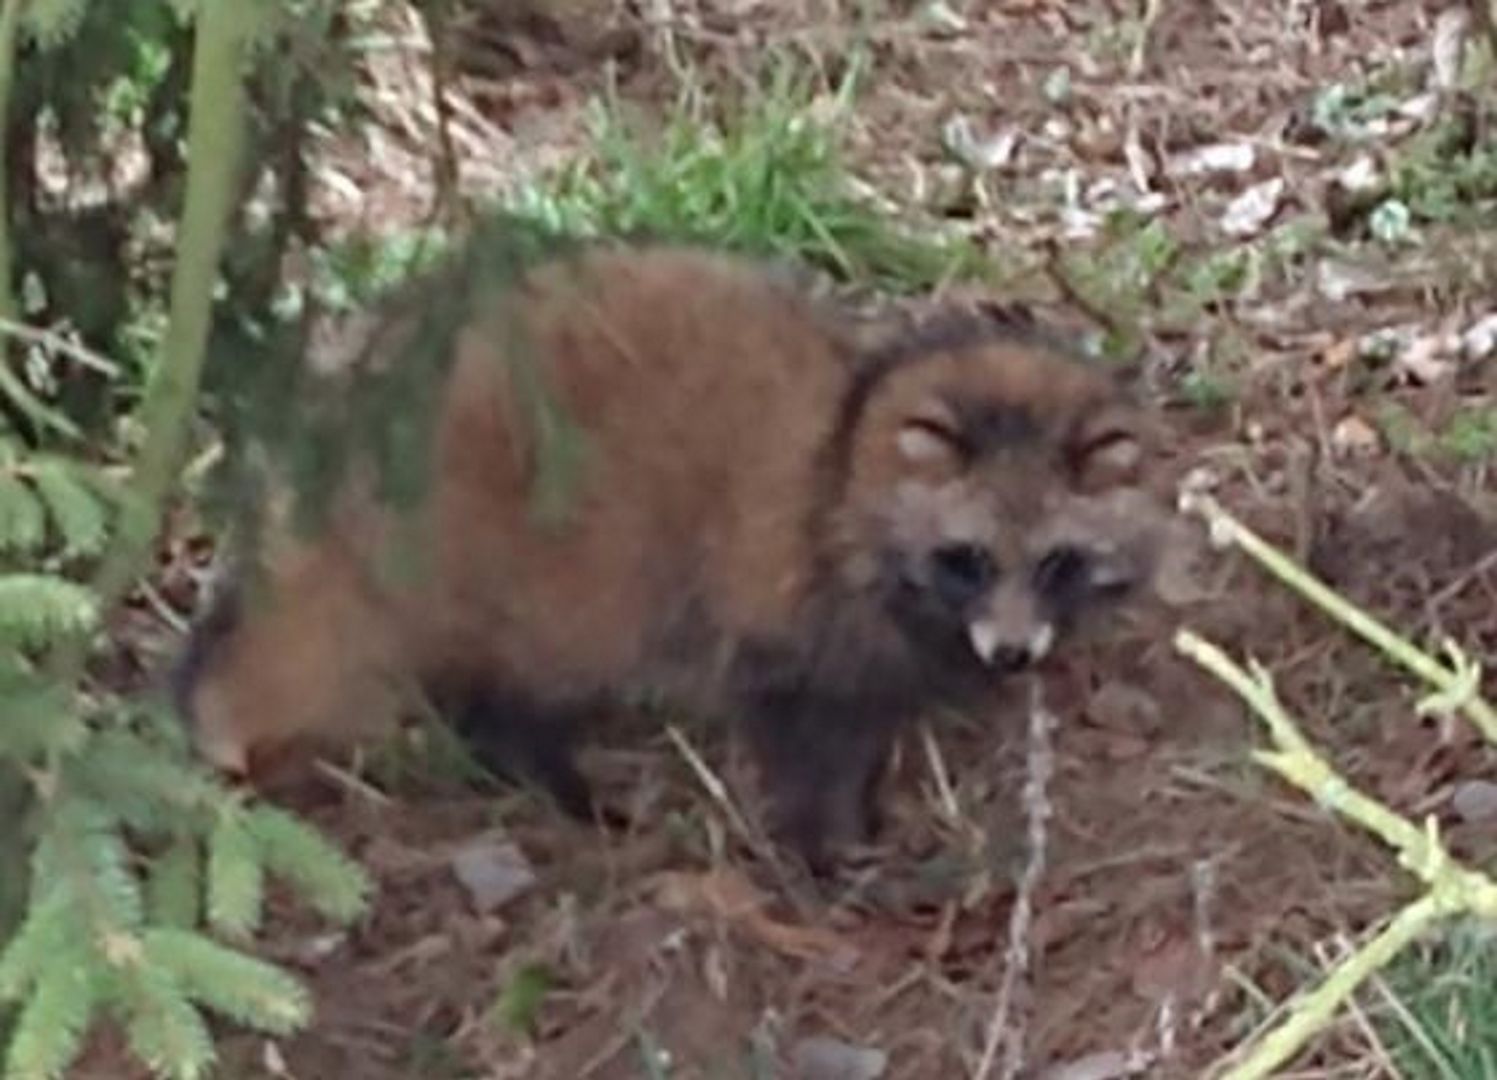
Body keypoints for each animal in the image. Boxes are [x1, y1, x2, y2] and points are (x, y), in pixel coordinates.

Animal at [172, 242, 1155, 868]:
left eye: (1055, 564)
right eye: (969, 559)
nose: (1014, 654)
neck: (848, 446)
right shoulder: (776, 599)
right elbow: (798, 733)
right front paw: (822, 838)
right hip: (524, 548)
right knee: (517, 670)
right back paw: (545, 767)